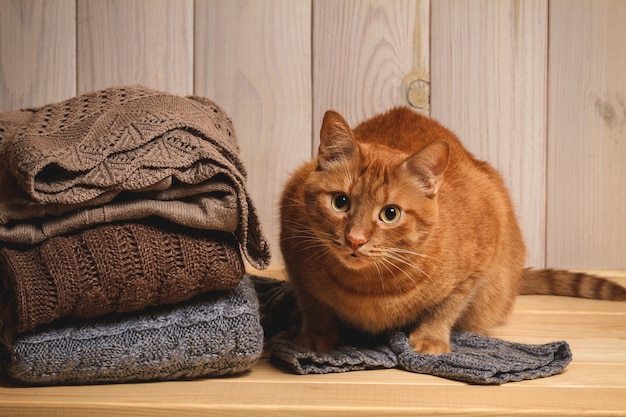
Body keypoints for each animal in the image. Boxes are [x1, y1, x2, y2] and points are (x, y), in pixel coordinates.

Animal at [280, 107, 624, 354]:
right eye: (340, 202)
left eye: (390, 214)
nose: (355, 239)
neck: (368, 289)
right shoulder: (292, 250)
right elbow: (313, 305)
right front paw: (315, 335)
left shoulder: (478, 259)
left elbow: (445, 308)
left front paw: (430, 338)